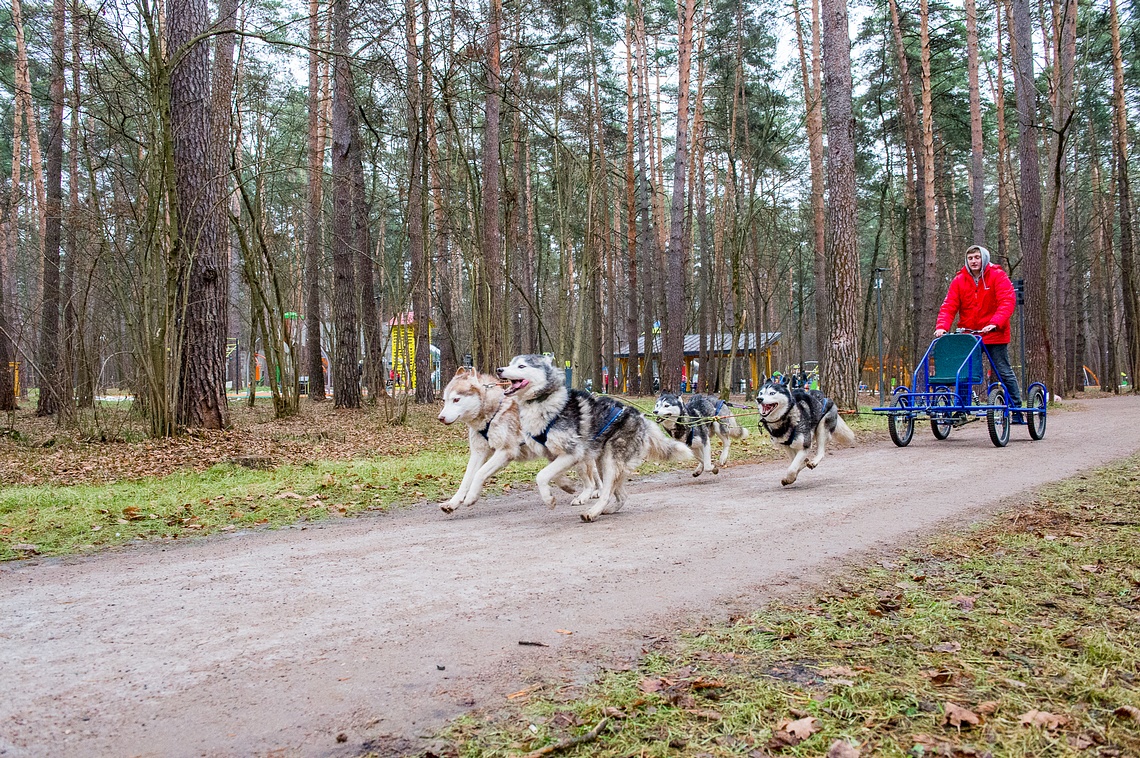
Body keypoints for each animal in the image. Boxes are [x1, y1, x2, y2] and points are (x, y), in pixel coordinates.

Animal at [433, 367, 597, 510]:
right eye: (445, 400)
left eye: (456, 400)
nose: (440, 418)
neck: (493, 413)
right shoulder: (478, 453)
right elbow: (466, 480)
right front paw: (452, 503)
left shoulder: (505, 451)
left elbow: (479, 474)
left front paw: (471, 497)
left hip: (578, 459)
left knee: (590, 481)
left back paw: (585, 496)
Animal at [494, 355, 688, 519]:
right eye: (511, 363)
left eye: (521, 366)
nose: (499, 369)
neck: (544, 404)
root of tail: (640, 416)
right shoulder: (553, 455)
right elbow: (553, 475)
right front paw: (567, 485)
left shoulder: (572, 453)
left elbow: (541, 476)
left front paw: (549, 499)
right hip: (602, 464)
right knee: (621, 495)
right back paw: (607, 509)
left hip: (610, 463)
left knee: (607, 492)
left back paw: (593, 512)